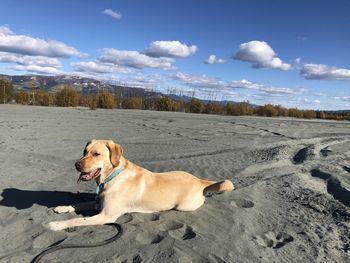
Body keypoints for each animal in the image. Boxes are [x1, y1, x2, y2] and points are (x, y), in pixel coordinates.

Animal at [47, 140, 234, 231]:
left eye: (96, 154)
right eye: (84, 152)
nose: (76, 165)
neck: (112, 176)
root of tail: (199, 180)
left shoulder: (106, 216)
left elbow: (78, 220)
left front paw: (57, 225)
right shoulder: (97, 203)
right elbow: (78, 204)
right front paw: (63, 207)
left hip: (184, 206)